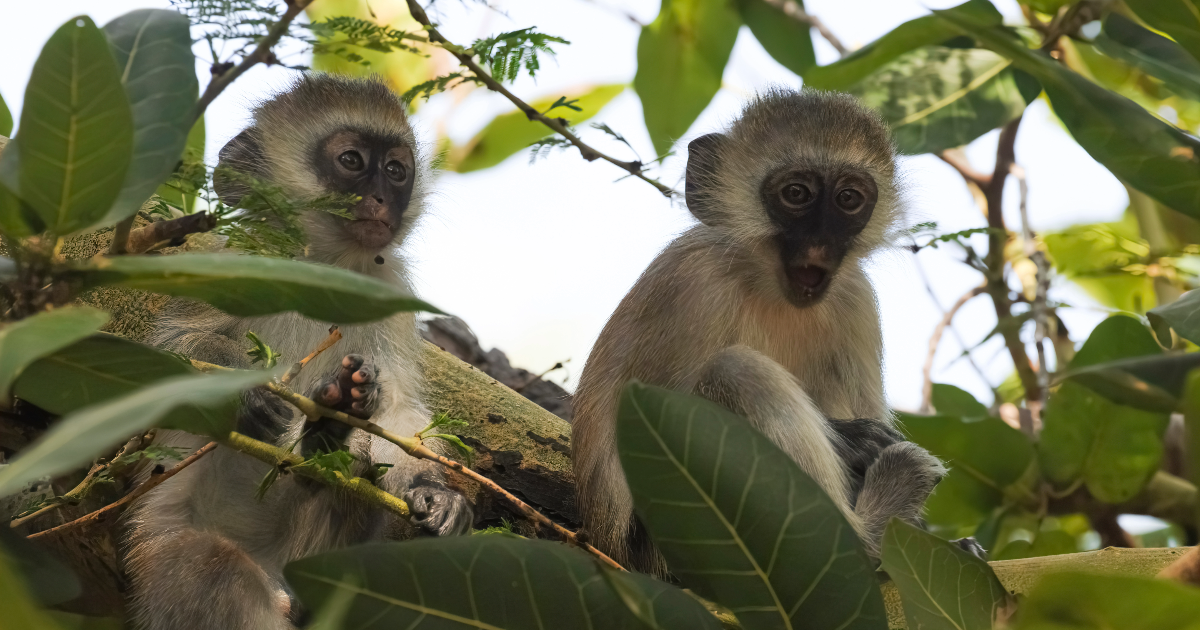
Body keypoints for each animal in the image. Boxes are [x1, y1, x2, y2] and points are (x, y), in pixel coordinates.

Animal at [122, 74, 473, 630]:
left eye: (396, 170)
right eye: (352, 160)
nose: (382, 197)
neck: (321, 265)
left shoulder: (387, 289)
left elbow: (397, 411)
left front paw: (435, 491)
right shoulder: (234, 260)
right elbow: (169, 353)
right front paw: (247, 396)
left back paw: (329, 435)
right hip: (172, 561)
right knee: (213, 569)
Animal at [572, 88, 956, 576]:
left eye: (848, 199)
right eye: (796, 194)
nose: (819, 243)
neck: (770, 285)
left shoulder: (855, 298)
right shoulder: (693, 281)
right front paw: (853, 440)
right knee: (737, 371)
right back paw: (865, 538)